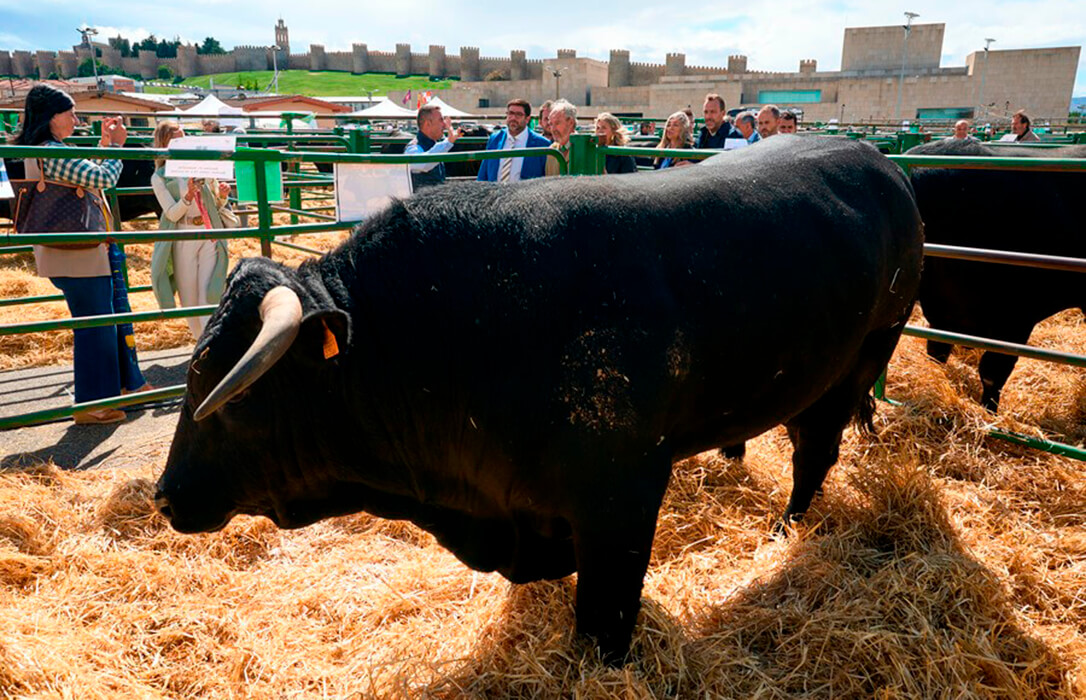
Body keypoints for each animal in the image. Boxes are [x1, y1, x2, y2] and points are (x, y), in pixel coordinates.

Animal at [154, 136, 923, 664]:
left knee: (814, 451)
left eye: (229, 391)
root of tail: (877, 160)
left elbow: (604, 616)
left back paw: (784, 533)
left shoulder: (624, 494)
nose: (164, 496)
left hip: (862, 357)